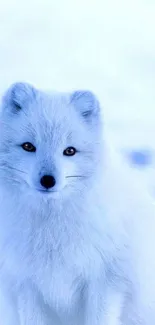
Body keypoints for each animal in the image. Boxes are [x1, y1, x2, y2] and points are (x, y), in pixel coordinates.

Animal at [0, 82, 154, 322]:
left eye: (69, 151)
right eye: (28, 146)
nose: (48, 180)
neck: (51, 229)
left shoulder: (107, 281)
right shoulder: (26, 285)